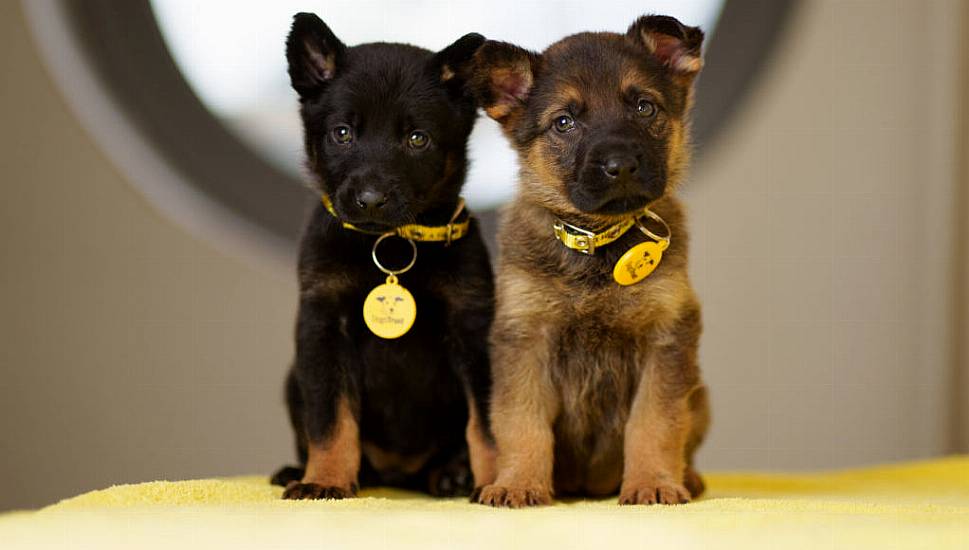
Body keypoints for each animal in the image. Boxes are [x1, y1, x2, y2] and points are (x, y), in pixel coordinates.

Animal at [272, 12, 500, 498]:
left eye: (417, 138)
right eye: (342, 133)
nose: (371, 200)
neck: (390, 242)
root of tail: (400, 471)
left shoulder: (473, 329)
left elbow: (488, 426)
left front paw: (499, 482)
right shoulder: (323, 327)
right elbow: (330, 421)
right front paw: (325, 480)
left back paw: (453, 473)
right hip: (292, 378)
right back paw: (298, 470)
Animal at [468, 16, 712, 508]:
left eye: (644, 107)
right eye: (564, 122)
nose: (620, 166)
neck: (598, 242)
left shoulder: (667, 338)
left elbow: (654, 423)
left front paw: (653, 482)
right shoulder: (524, 338)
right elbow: (521, 423)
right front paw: (519, 483)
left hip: (702, 397)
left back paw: (688, 477)